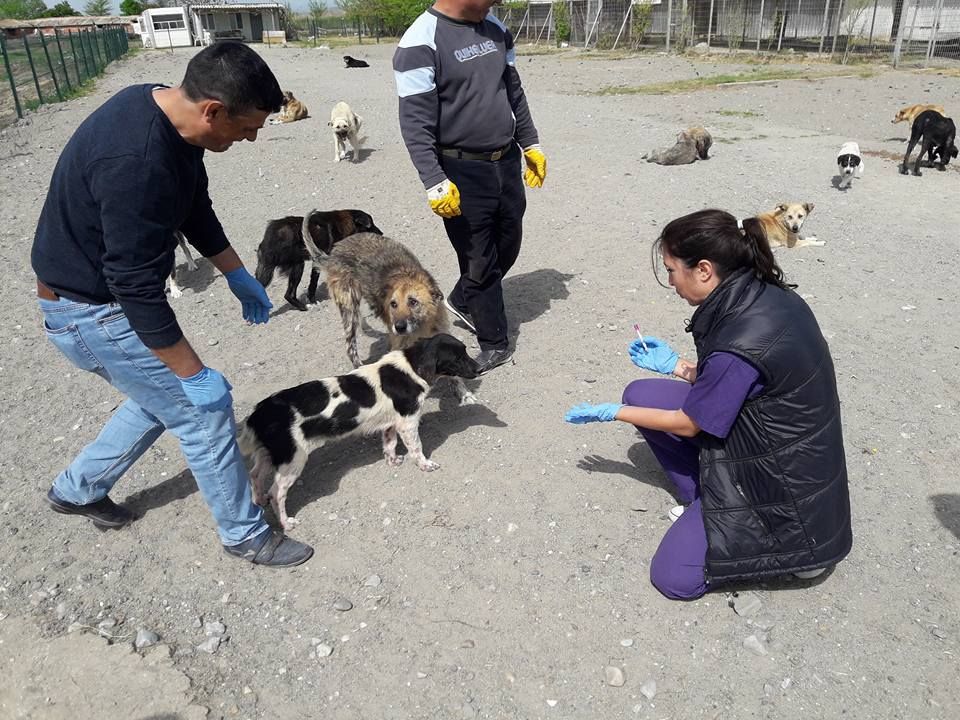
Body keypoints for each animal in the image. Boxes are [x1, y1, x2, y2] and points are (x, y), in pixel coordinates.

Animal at [238, 334, 478, 528]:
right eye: (457, 358)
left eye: (466, 351)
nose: (480, 368)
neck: (410, 367)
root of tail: (259, 413)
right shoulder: (408, 423)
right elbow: (416, 448)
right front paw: (425, 465)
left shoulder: (391, 424)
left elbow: (389, 445)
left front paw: (392, 462)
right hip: (292, 460)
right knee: (276, 493)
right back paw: (286, 523)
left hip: (268, 454)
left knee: (254, 475)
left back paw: (258, 500)